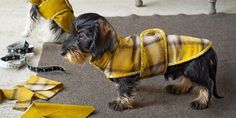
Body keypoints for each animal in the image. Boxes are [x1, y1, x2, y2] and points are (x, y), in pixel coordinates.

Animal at [60, 12, 223, 110]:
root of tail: (210, 49)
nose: (62, 52)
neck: (112, 51)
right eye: (71, 34)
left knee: (207, 84)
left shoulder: (127, 77)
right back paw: (179, 88)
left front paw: (121, 102)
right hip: (188, 68)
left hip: (194, 69)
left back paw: (201, 102)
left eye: (81, 36)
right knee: (189, 80)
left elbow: (124, 89)